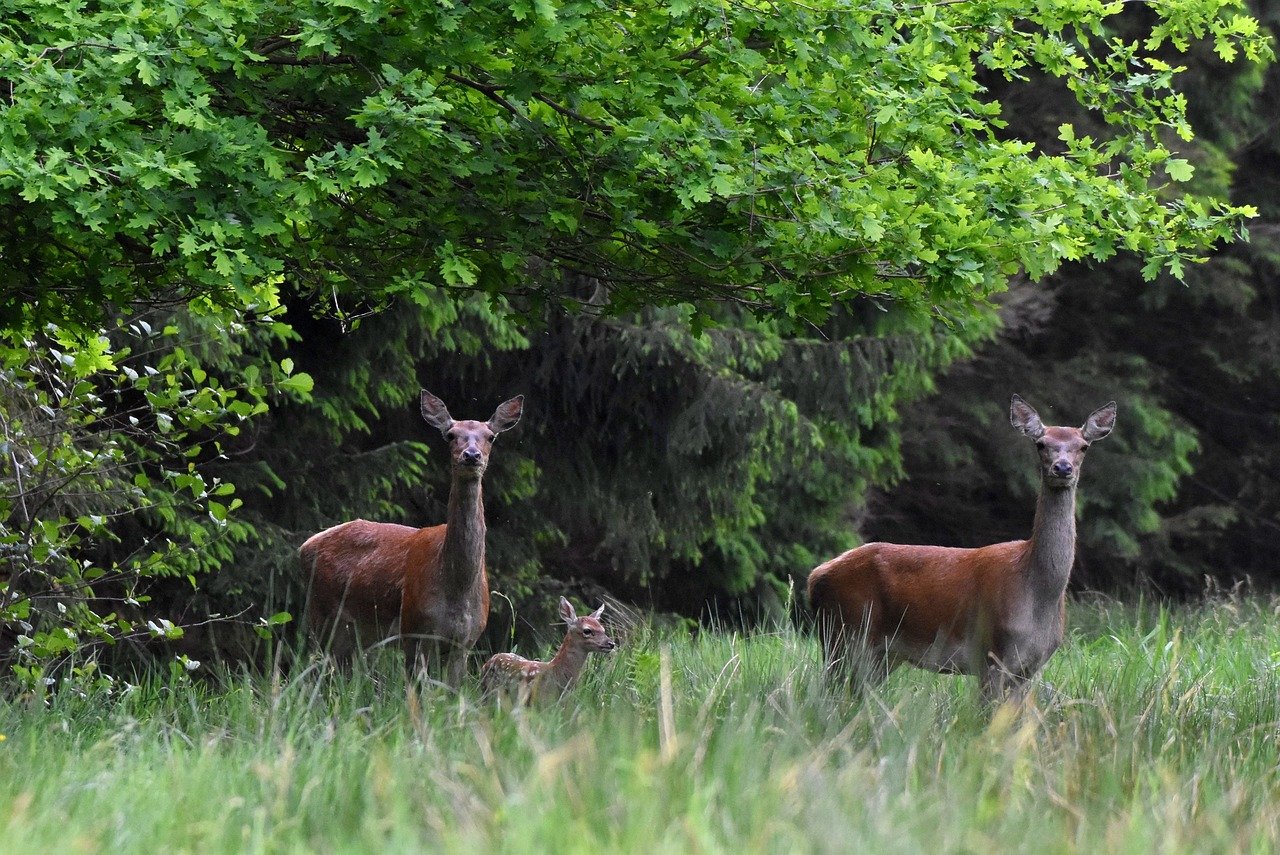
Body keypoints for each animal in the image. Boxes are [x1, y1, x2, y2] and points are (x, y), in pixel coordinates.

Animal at [296, 391, 522, 686]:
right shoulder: (413, 628)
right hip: (321, 613)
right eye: (451, 434)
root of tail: (304, 546)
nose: (471, 455)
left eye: (490, 436)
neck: (456, 587)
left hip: (356, 631)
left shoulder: (466, 640)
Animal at [808, 396, 1121, 701]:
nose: (1062, 468)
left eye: (1083, 446)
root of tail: (816, 576)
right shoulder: (992, 653)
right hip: (847, 632)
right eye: (1041, 443)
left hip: (879, 653)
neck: (1036, 591)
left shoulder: (1030, 667)